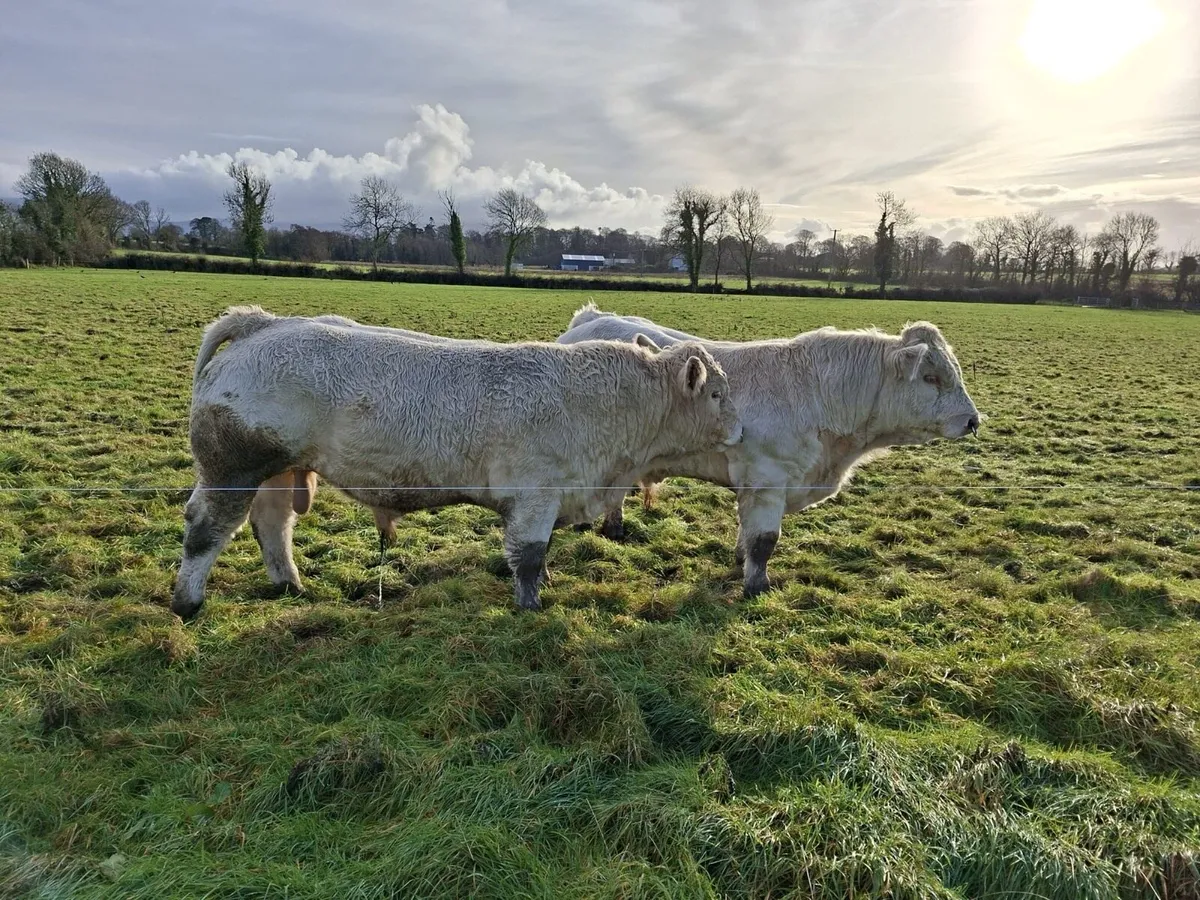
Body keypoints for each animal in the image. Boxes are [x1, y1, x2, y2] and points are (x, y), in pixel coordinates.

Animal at [172, 305, 743, 619]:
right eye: (716, 393)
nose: (741, 431)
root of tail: (263, 323)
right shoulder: (535, 496)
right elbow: (528, 556)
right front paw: (531, 606)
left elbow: (536, 556)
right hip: (232, 467)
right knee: (206, 529)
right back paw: (187, 602)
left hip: (276, 468)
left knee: (272, 523)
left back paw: (289, 584)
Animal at [556, 303, 982, 599]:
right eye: (931, 377)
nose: (973, 420)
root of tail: (591, 318)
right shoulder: (767, 481)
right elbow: (764, 541)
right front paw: (757, 586)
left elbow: (747, 536)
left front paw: (740, 562)